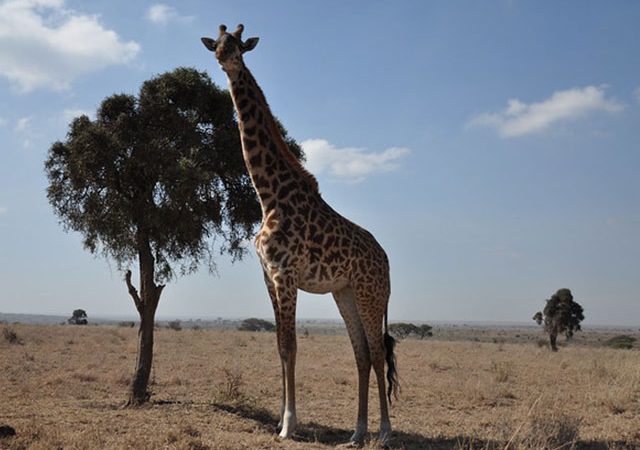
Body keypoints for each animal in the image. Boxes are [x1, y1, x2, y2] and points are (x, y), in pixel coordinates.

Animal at [202, 24, 398, 446]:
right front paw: (281, 419)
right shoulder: (268, 277)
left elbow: (291, 347)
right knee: (361, 353)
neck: (267, 194)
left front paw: (289, 425)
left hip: (371, 294)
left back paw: (386, 432)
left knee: (377, 353)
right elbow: (280, 347)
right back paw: (357, 432)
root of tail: (387, 261)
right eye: (217, 44)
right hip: (345, 293)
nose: (225, 59)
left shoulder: (286, 274)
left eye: (239, 46)